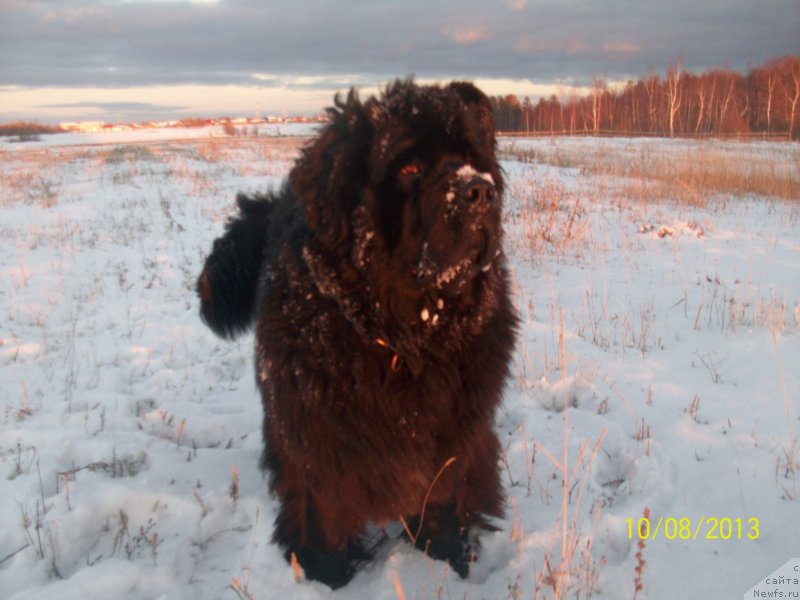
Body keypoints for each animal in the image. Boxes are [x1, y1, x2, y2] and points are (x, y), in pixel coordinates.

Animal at [200, 78, 520, 584]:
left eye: (476, 160)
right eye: (409, 166)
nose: (479, 191)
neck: (404, 337)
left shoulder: (456, 431)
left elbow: (445, 489)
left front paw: (445, 552)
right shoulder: (318, 430)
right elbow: (324, 501)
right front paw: (325, 570)